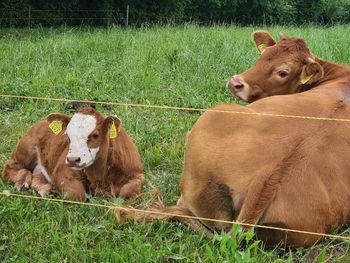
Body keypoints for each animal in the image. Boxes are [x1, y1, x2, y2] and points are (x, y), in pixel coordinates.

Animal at [1, 106, 144, 200]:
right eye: (67, 136)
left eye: (95, 135)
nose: (73, 159)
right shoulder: (61, 171)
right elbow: (77, 195)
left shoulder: (137, 174)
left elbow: (126, 192)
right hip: (25, 149)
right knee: (9, 168)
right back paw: (23, 179)